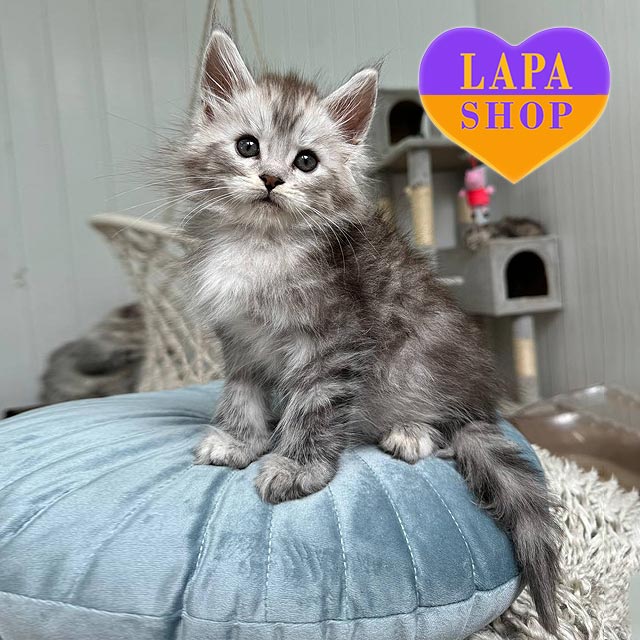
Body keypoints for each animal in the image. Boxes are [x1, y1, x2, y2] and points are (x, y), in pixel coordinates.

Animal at [168, 30, 560, 632]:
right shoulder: (239, 341)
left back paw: (413, 431)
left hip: (417, 361)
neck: (262, 247)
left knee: (450, 426)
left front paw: (297, 467)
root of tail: (481, 397)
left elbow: (314, 408)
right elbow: (241, 394)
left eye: (306, 161)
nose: (271, 178)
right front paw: (240, 439)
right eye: (247, 146)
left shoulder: (335, 342)